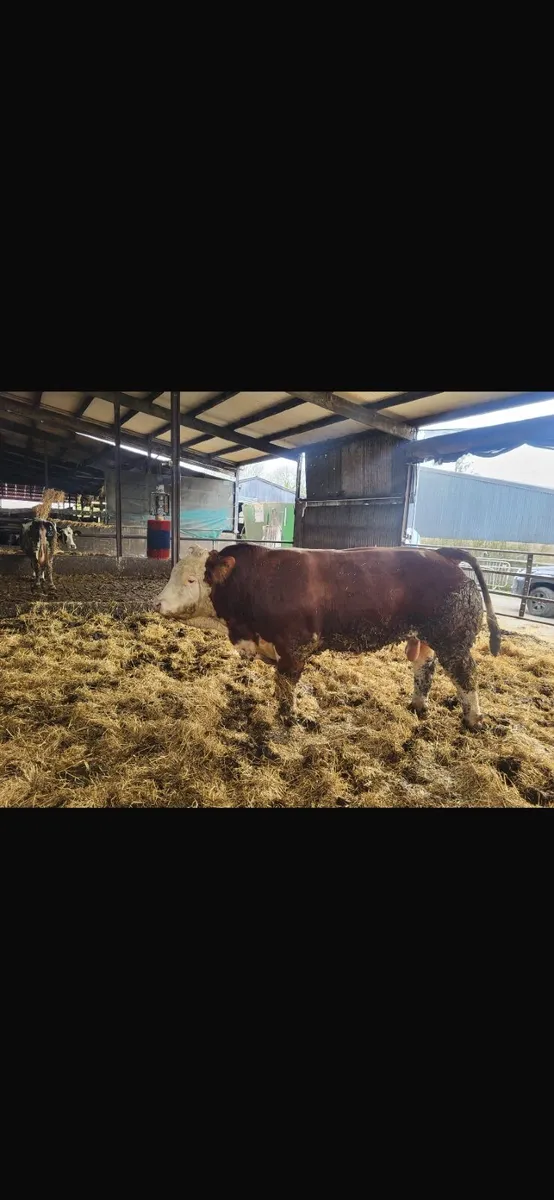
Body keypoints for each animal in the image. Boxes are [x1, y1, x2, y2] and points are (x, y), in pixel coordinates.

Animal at [203, 543, 502, 730]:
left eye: (204, 576)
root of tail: (442, 555)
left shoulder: (295, 646)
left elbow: (286, 686)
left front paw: (290, 718)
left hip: (453, 641)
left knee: (466, 676)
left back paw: (474, 720)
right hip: (427, 638)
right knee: (424, 668)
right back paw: (418, 706)